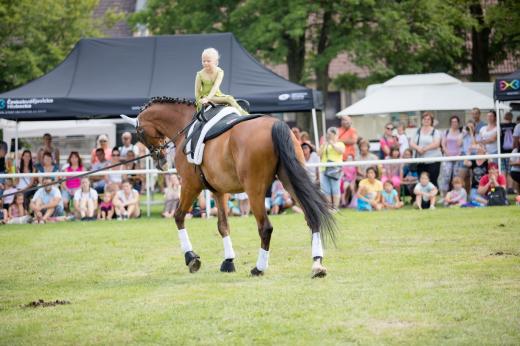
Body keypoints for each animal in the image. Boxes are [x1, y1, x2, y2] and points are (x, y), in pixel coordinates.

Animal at [122, 97, 336, 278]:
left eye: (139, 133)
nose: (160, 161)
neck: (185, 127)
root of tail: (276, 124)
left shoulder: (190, 185)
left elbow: (179, 216)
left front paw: (191, 258)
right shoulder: (219, 191)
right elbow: (223, 225)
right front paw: (228, 261)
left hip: (255, 190)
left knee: (265, 227)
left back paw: (259, 268)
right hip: (290, 180)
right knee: (312, 217)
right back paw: (317, 264)